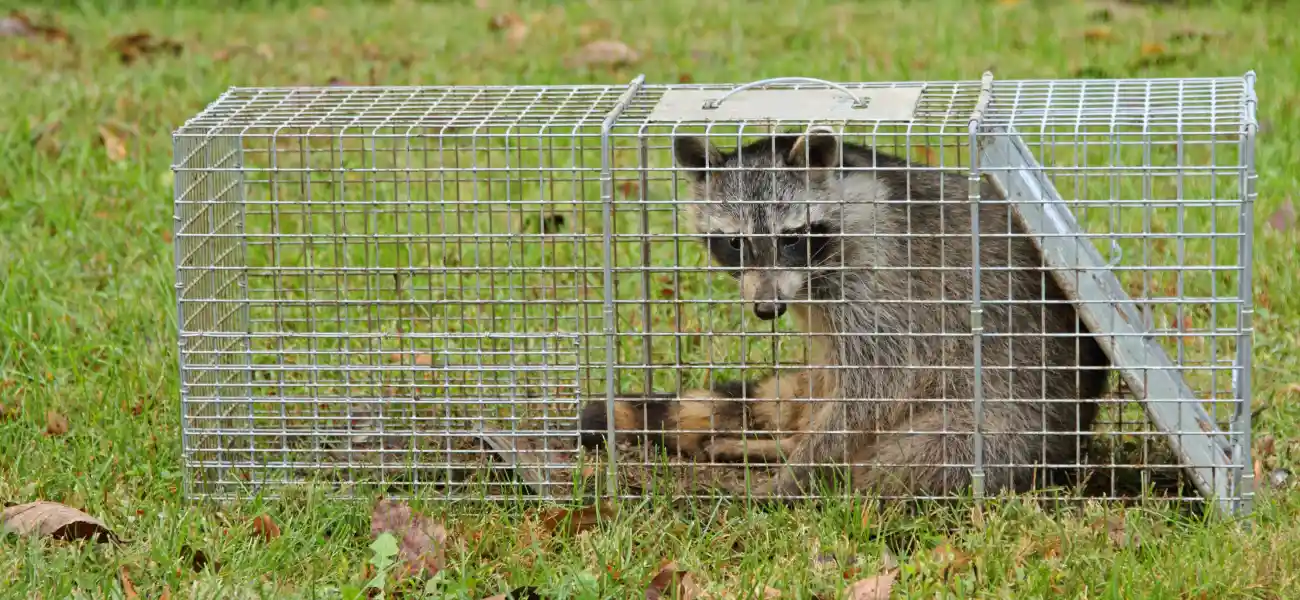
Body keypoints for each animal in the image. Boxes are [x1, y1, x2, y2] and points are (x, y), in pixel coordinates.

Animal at [579, 128, 1113, 499]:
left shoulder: (882, 277)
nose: (767, 308)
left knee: (915, 459)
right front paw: (791, 450)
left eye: (791, 237)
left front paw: (796, 474)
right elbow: (832, 380)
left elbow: (878, 385)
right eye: (735, 243)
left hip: (1009, 422)